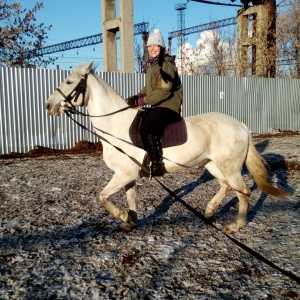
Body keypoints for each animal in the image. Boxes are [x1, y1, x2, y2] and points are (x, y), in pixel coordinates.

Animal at [45, 62, 288, 233]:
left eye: (69, 82)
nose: (48, 106)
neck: (115, 124)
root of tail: (241, 126)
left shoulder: (124, 174)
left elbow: (103, 197)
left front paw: (123, 217)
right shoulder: (127, 175)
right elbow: (130, 198)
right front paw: (130, 221)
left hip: (230, 168)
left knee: (243, 192)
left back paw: (236, 226)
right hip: (213, 165)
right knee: (227, 187)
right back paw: (210, 212)